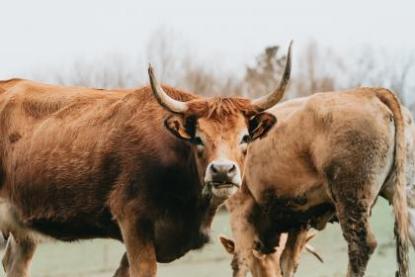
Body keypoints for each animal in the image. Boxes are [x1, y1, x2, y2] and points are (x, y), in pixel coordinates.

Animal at [228, 89, 412, 276]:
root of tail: (369, 92)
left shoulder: (240, 206)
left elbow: (241, 262)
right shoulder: (300, 218)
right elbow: (287, 261)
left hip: (350, 199)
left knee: (361, 246)